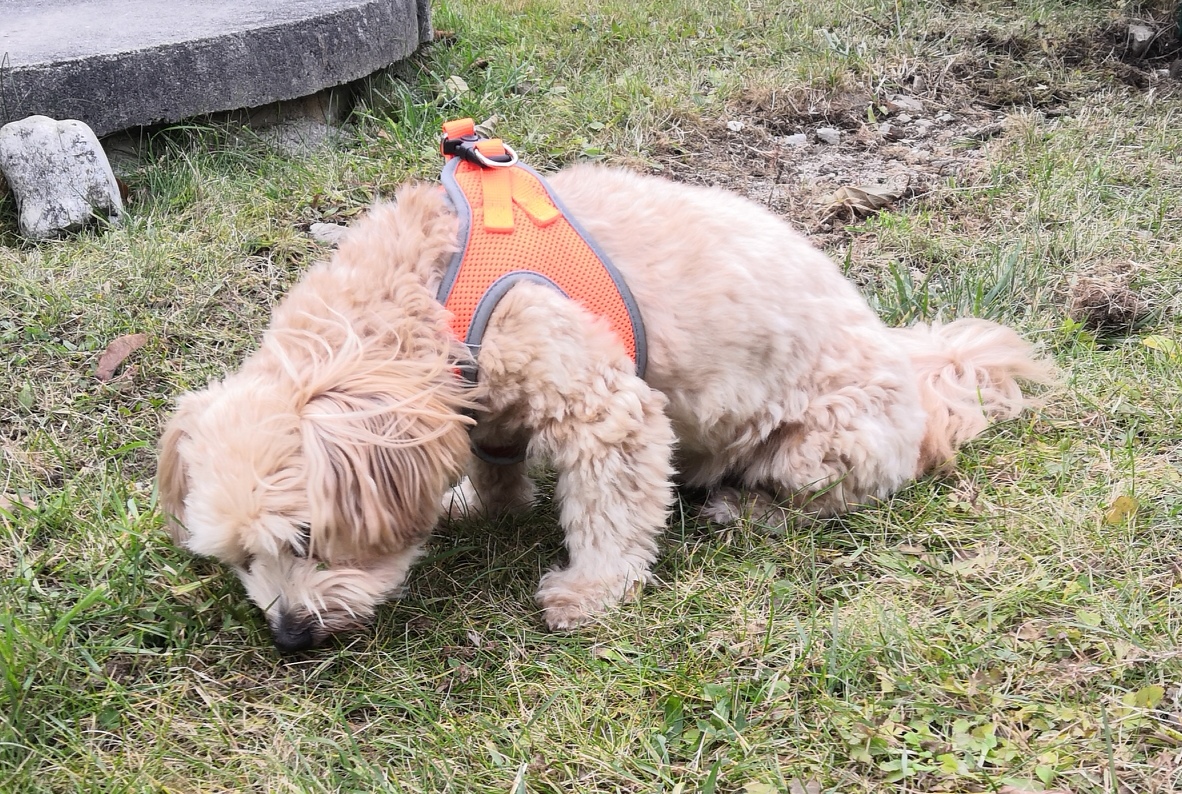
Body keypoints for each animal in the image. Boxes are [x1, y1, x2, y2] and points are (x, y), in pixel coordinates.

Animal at [158, 162, 1054, 651]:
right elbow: (493, 461)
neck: (426, 290)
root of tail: (922, 379)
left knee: (817, 497)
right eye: (235, 560)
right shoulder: (487, 402)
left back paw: (742, 507)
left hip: (821, 445)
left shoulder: (603, 405)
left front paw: (588, 592)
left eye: (308, 538)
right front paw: (479, 503)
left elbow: (608, 512)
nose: (289, 637)